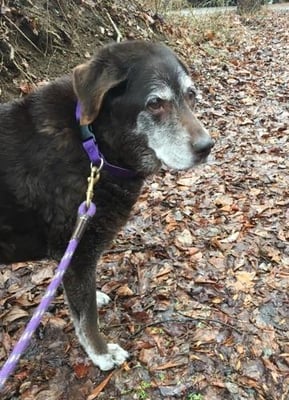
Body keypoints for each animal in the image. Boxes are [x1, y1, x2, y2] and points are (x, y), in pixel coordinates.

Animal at [0, 40, 212, 372]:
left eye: (191, 95)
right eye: (155, 103)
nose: (207, 147)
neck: (94, 147)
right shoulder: (78, 256)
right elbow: (87, 319)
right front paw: (102, 353)